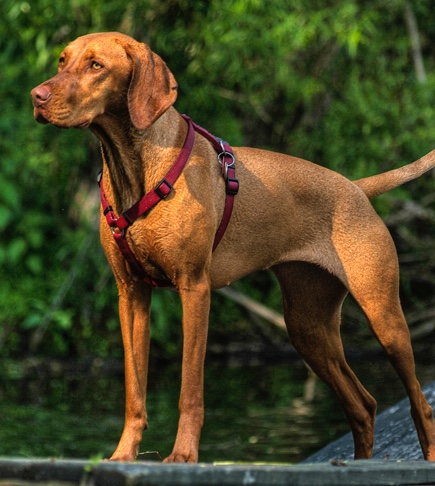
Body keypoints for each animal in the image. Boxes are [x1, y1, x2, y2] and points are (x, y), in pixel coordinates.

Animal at [30, 31, 435, 464]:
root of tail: (356, 188)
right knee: (363, 405)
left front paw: (183, 455)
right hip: (308, 327)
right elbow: (134, 392)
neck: (137, 166)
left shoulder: (195, 288)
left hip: (384, 317)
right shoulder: (131, 296)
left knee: (419, 404)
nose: (36, 96)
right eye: (61, 61)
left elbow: (190, 389)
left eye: (96, 66)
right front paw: (123, 454)